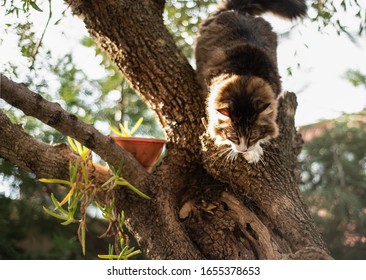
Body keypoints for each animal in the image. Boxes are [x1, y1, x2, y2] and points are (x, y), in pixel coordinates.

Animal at [196, 0, 308, 164]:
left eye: (253, 135)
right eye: (234, 136)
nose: (243, 150)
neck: (245, 78)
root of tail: (239, 11)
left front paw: (254, 151)